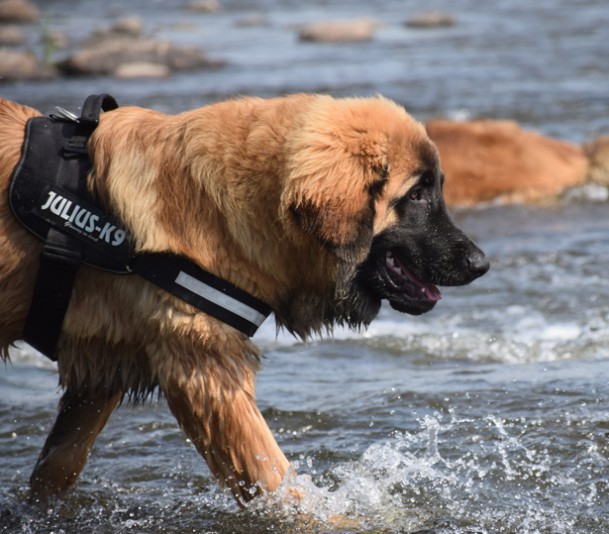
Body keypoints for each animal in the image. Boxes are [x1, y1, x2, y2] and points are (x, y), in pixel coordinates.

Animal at [0, 95, 486, 506]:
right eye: (417, 194)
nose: (481, 264)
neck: (230, 204)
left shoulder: (101, 369)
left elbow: (57, 465)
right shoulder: (207, 372)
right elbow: (279, 482)